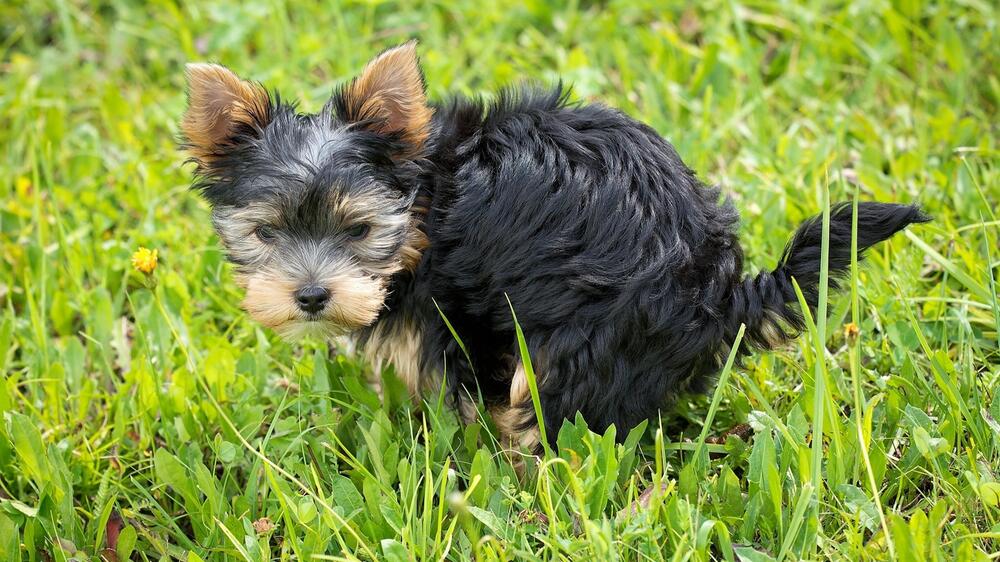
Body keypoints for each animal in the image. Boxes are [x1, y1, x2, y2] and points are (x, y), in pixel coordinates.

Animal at [182, 41, 928, 452]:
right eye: (267, 233)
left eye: (359, 231)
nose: (311, 296)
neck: (425, 203)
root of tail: (721, 291)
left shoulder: (457, 315)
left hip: (585, 337)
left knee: (551, 409)